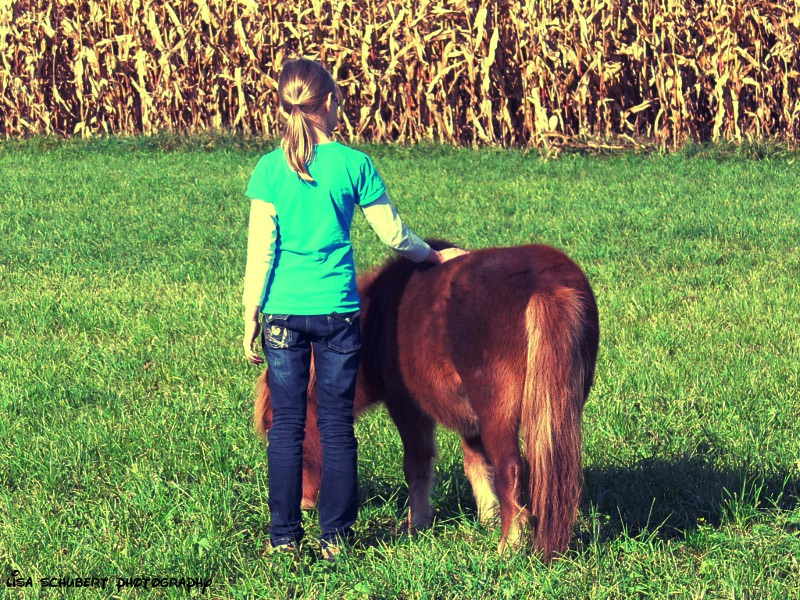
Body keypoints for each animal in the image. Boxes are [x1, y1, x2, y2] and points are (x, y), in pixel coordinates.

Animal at [253, 240, 596, 564]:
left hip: (498, 416)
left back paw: (507, 546)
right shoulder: (470, 419)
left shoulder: (407, 408)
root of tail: (542, 284)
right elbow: (476, 463)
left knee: (510, 468)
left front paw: (415, 524)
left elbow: (417, 464)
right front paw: (487, 517)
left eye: (271, 428)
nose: (304, 504)